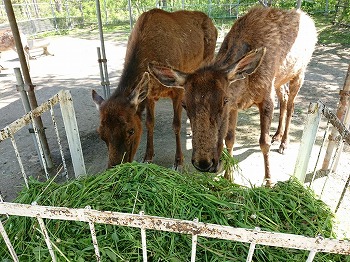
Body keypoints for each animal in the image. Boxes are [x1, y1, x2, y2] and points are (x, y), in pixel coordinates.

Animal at [92, 8, 219, 169]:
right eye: (101, 134)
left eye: (131, 130)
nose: (115, 168)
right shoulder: (149, 95)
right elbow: (149, 123)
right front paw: (147, 157)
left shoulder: (177, 89)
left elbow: (176, 125)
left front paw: (179, 161)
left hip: (208, 59)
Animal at [149, 6, 318, 186]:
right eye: (184, 104)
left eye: (224, 100)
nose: (203, 163)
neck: (245, 86)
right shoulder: (235, 105)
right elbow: (229, 139)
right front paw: (228, 177)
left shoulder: (266, 97)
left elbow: (263, 143)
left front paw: (269, 182)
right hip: (280, 81)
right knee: (284, 98)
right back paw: (277, 135)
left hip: (299, 73)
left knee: (292, 104)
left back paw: (284, 143)